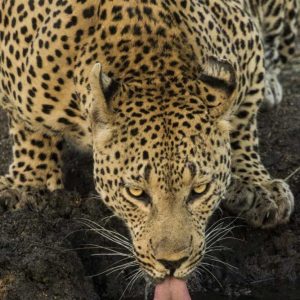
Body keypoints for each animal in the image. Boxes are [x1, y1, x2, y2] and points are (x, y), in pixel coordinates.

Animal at [0, 0, 298, 286]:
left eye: (200, 190)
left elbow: (244, 119)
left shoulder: (246, 38)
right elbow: (30, 130)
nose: (172, 263)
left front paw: (257, 186)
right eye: (136, 193)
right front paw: (29, 185)